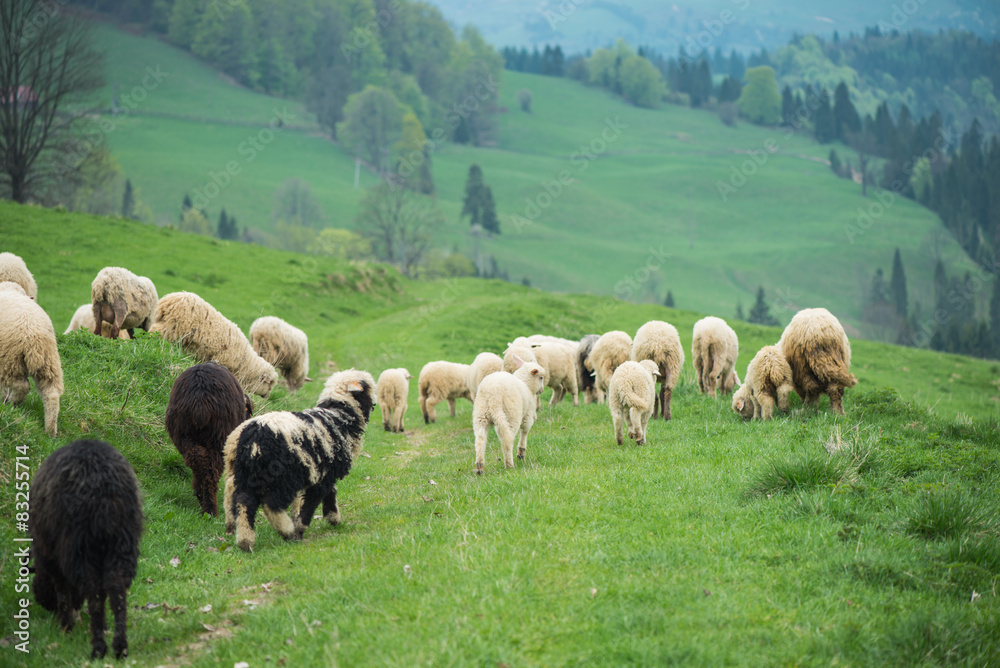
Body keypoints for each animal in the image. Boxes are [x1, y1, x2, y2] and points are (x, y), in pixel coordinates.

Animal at [0, 285, 63, 436]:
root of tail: (35, 340)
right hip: (49, 363)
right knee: (51, 395)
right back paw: (50, 432)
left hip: (10, 360)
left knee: (22, 385)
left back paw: (12, 403)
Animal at [30, 439, 143, 660]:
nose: (43, 603)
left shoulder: (53, 558)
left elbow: (62, 592)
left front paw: (66, 627)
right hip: (122, 544)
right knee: (117, 592)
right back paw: (120, 647)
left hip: (80, 547)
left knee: (94, 595)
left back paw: (98, 648)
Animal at [165, 363, 254, 516]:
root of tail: (199, 401)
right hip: (218, 438)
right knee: (211, 471)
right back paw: (210, 509)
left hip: (183, 434)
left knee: (197, 459)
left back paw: (200, 495)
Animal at [223, 369, 376, 552]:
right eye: (367, 387)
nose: (375, 404)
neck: (340, 415)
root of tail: (255, 436)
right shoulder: (321, 477)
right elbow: (311, 503)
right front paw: (301, 529)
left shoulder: (325, 471)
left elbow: (331, 492)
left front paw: (333, 518)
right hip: (285, 476)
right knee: (271, 504)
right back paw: (287, 532)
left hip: (248, 473)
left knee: (243, 501)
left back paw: (244, 540)